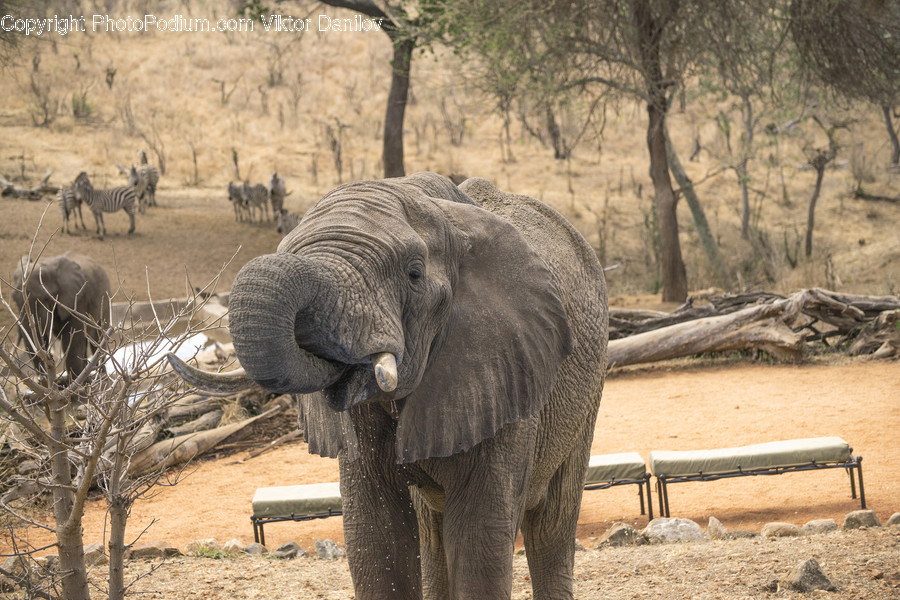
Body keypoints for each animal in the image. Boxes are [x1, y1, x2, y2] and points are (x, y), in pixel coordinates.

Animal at [12, 251, 111, 382]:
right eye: (14, 300)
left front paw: (77, 384)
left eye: (46, 298)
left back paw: (100, 377)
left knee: (97, 337)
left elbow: (72, 340)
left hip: (105, 300)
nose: (42, 380)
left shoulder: (78, 299)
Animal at [169, 173, 608, 599]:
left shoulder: (506, 369)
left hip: (587, 392)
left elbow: (480, 536)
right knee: (432, 531)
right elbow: (376, 534)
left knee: (550, 523)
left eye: (413, 274)